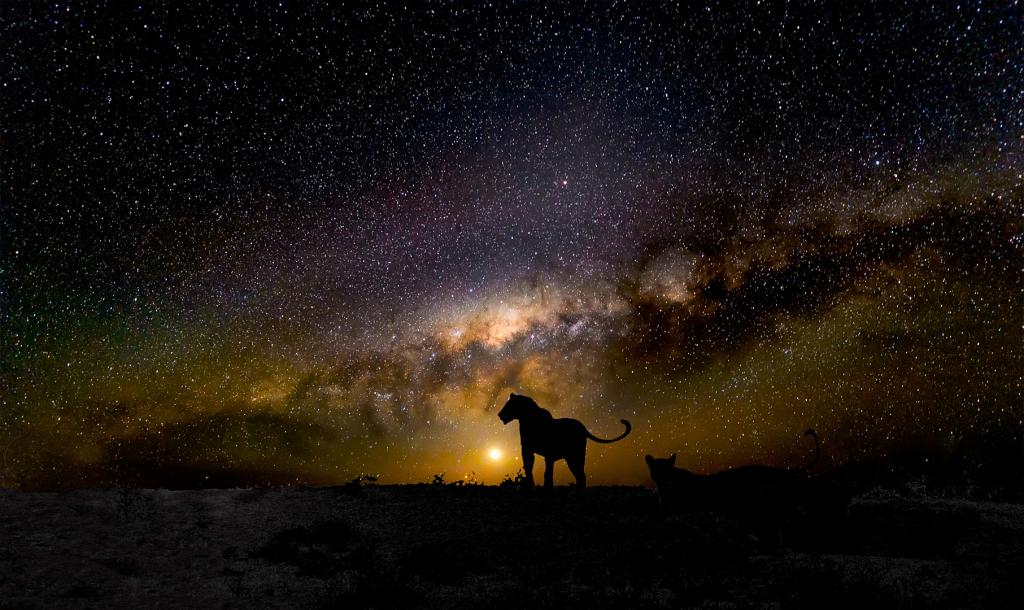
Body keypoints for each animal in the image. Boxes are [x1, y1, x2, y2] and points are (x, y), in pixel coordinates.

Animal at [497, 395, 630, 491]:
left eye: (509, 405)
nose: (499, 414)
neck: (527, 419)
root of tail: (583, 428)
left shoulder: (547, 454)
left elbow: (547, 473)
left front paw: (547, 489)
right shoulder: (527, 450)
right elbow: (529, 469)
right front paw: (531, 487)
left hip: (575, 456)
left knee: (581, 475)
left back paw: (577, 493)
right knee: (580, 475)